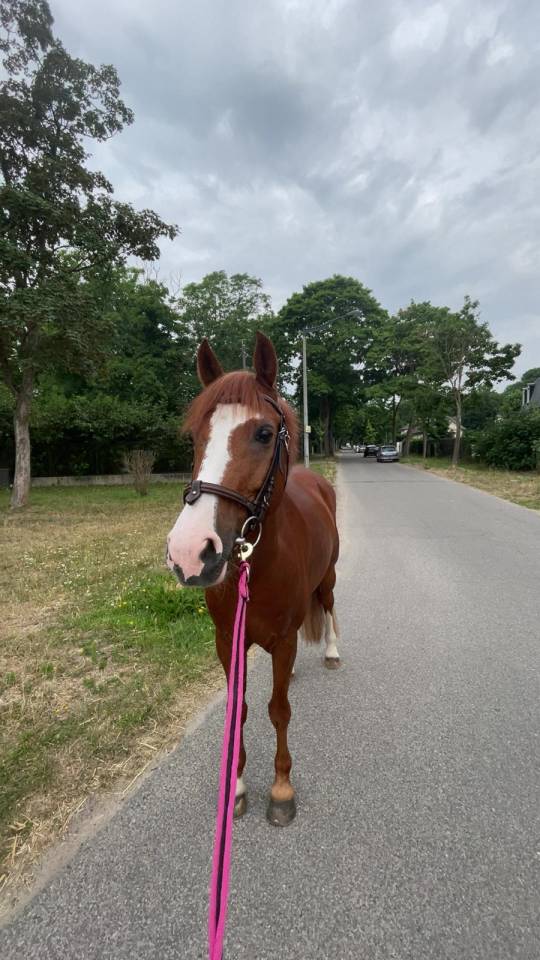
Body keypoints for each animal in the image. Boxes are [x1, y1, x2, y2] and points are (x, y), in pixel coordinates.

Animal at [166, 332, 340, 826]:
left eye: (263, 434)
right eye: (195, 436)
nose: (189, 552)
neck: (259, 566)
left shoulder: (282, 639)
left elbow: (278, 710)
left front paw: (281, 789)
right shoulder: (228, 641)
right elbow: (238, 711)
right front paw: (237, 785)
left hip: (328, 578)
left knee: (330, 606)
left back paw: (333, 651)